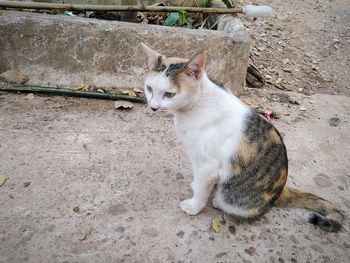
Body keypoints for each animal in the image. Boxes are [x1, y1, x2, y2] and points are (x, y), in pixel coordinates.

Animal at [141, 43, 344, 233]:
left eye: (169, 94)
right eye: (149, 88)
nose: (153, 107)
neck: (193, 108)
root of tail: (281, 192)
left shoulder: (208, 166)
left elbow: (201, 188)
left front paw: (194, 206)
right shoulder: (196, 158)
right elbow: (198, 180)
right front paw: (195, 186)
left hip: (234, 197)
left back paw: (218, 201)